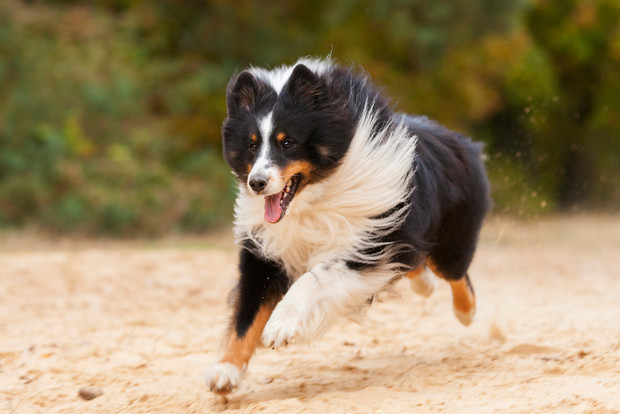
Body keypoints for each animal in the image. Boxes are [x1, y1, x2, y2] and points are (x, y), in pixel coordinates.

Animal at [206, 56, 492, 392]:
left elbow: (313, 279)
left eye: (287, 142)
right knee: (415, 262)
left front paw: (280, 327)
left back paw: (466, 312)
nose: (257, 183)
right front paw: (225, 371)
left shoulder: (365, 243)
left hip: (448, 238)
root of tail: (464, 143)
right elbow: (246, 315)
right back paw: (425, 285)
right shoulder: (264, 251)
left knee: (457, 275)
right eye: (251, 145)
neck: (311, 200)